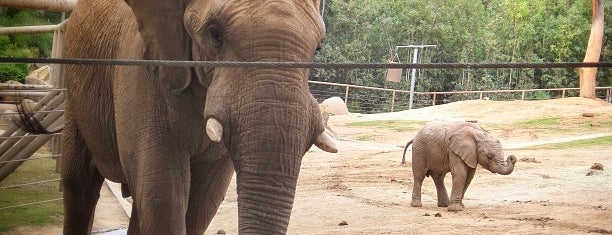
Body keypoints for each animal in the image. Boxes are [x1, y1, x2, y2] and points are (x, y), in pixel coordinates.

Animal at [19, 0, 338, 235]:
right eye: (214, 34)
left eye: (318, 47)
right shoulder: (139, 64)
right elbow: (164, 193)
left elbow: (203, 199)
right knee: (80, 185)